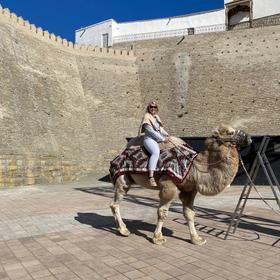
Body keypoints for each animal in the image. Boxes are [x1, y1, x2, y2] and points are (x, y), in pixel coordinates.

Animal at [109, 124, 252, 245]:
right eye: (230, 132)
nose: (249, 138)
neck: (194, 167)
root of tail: (116, 158)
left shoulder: (190, 190)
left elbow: (190, 213)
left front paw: (197, 239)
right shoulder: (168, 185)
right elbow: (162, 212)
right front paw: (158, 238)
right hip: (122, 179)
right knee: (115, 203)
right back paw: (124, 230)